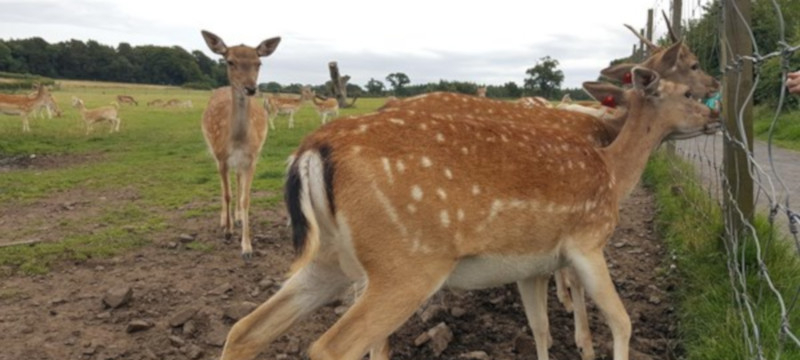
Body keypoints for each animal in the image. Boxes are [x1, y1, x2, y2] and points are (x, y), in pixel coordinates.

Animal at [199, 28, 282, 258]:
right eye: (229, 61)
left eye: (259, 63)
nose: (250, 88)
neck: (236, 140)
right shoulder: (221, 157)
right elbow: (226, 194)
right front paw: (227, 232)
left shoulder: (252, 158)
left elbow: (246, 199)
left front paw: (247, 247)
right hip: (214, 152)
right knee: (223, 186)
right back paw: (224, 221)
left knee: (236, 180)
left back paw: (235, 218)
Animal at [216, 64, 720, 360]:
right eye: (686, 93)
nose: (715, 117)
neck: (614, 173)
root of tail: (309, 152)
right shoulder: (587, 241)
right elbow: (621, 320)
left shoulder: (532, 265)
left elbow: (541, 330)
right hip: (407, 264)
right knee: (330, 347)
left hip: (329, 261)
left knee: (244, 329)